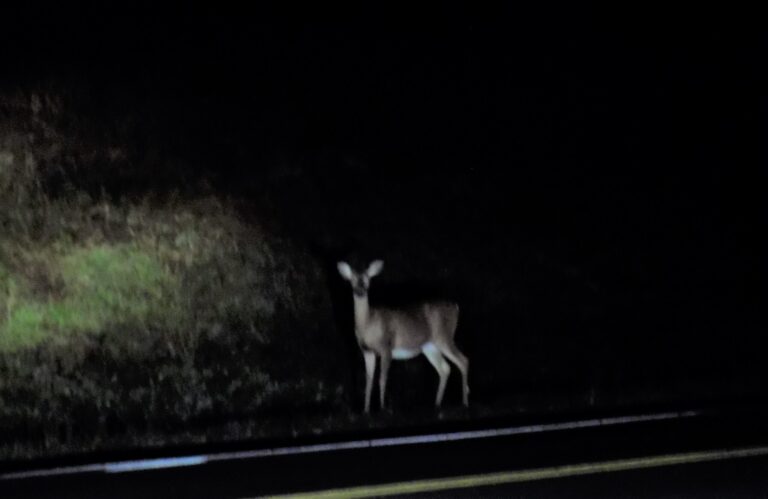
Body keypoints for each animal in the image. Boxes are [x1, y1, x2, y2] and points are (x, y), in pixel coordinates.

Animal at [337, 260, 469, 413]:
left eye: (367, 279)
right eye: (352, 280)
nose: (360, 291)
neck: (368, 324)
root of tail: (456, 307)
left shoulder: (386, 346)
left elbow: (382, 378)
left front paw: (383, 408)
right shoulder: (367, 351)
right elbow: (368, 382)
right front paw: (366, 411)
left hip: (444, 336)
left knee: (463, 361)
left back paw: (465, 402)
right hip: (429, 346)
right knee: (445, 368)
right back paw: (437, 404)